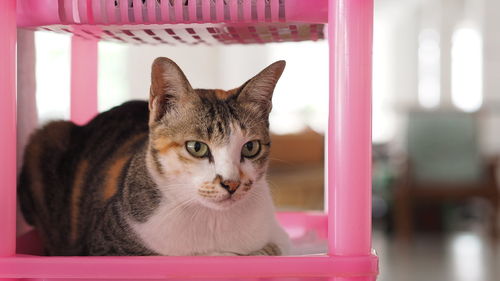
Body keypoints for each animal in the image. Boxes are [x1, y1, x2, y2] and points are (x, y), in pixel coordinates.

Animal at [18, 57, 290, 256]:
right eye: (197, 147)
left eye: (250, 147)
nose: (231, 183)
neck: (211, 221)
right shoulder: (103, 248)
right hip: (48, 136)